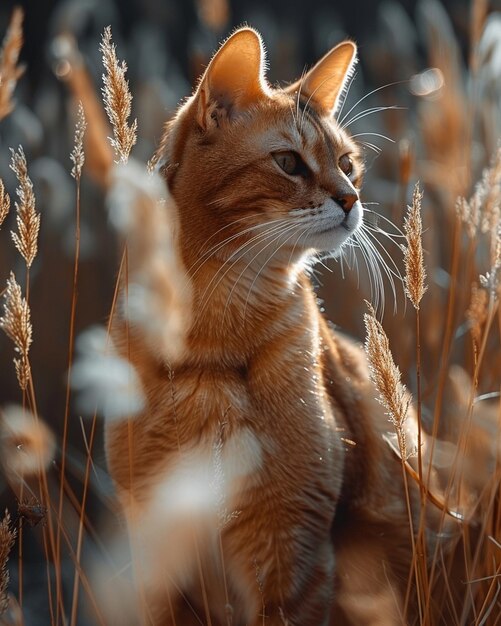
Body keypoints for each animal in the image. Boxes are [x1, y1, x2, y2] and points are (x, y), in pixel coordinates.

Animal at [105, 26, 450, 624]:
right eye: (289, 162)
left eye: (347, 163)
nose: (351, 198)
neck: (214, 336)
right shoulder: (157, 546)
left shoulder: (289, 547)